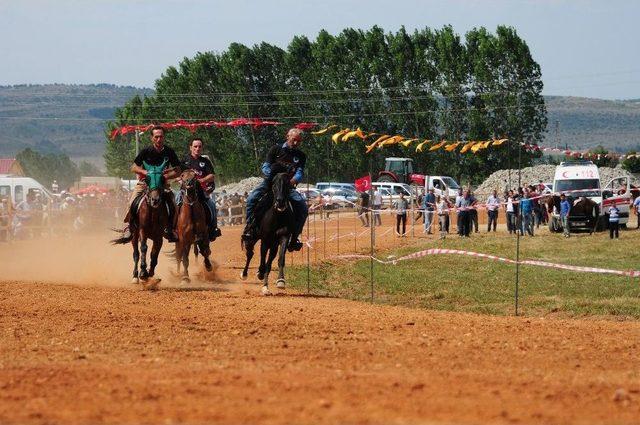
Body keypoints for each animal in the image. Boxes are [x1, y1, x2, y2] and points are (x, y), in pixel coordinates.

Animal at [112, 160, 170, 288]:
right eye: (147, 178)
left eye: (162, 179)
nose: (155, 200)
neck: (153, 211)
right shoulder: (143, 230)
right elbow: (143, 248)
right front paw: (143, 273)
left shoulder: (159, 236)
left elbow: (154, 254)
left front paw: (151, 274)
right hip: (134, 234)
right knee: (136, 254)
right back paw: (135, 276)